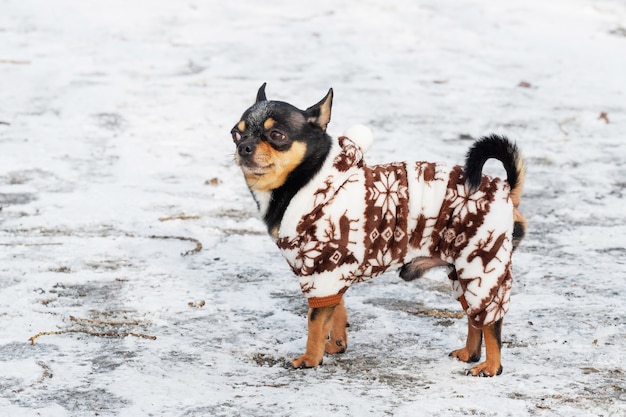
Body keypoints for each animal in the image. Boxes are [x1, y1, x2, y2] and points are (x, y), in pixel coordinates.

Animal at [229, 83, 520, 376]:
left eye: (276, 135)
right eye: (235, 133)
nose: (244, 146)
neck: (306, 182)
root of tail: (505, 187)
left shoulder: (323, 268)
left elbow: (315, 322)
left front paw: (311, 358)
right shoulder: (330, 275)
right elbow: (336, 311)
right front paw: (335, 344)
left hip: (480, 269)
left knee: (491, 323)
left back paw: (491, 366)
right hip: (461, 273)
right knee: (474, 319)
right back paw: (469, 354)